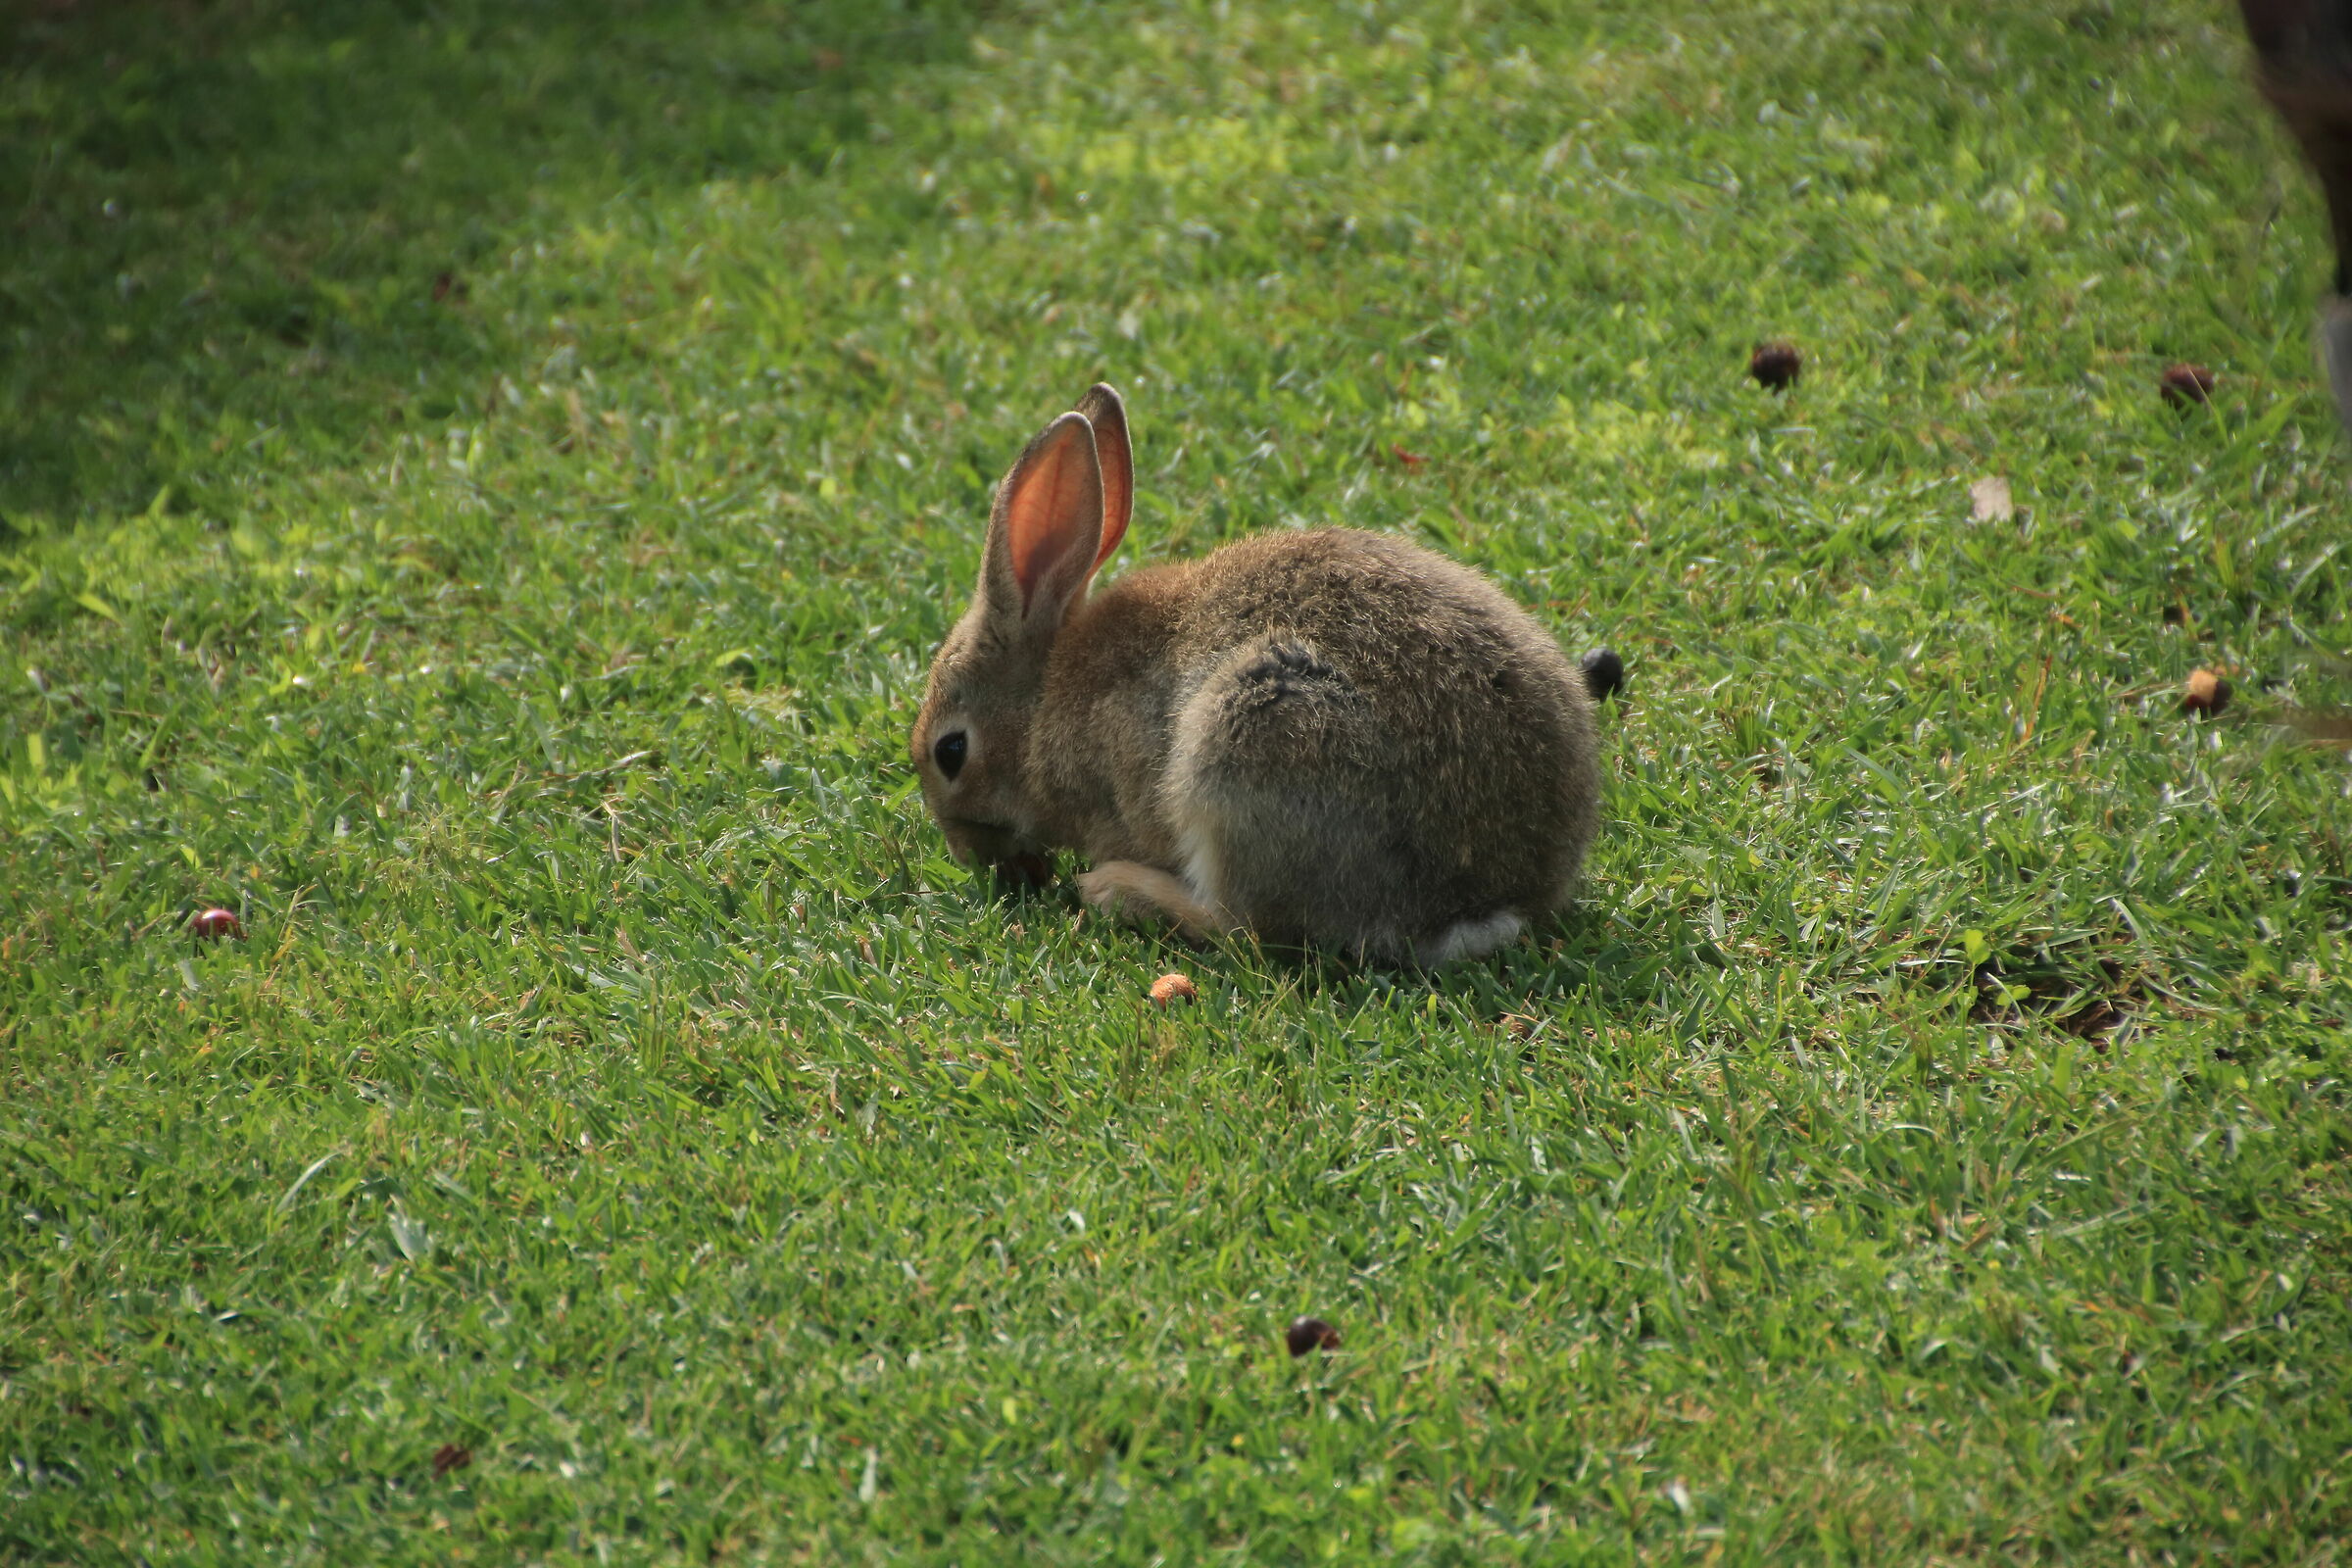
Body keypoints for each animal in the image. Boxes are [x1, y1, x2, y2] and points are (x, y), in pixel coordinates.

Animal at [909, 383, 1604, 966]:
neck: (1039, 707)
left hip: (1249, 743)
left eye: (951, 752)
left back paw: (1117, 890)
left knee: (1245, 928)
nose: (969, 857)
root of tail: (1487, 902)